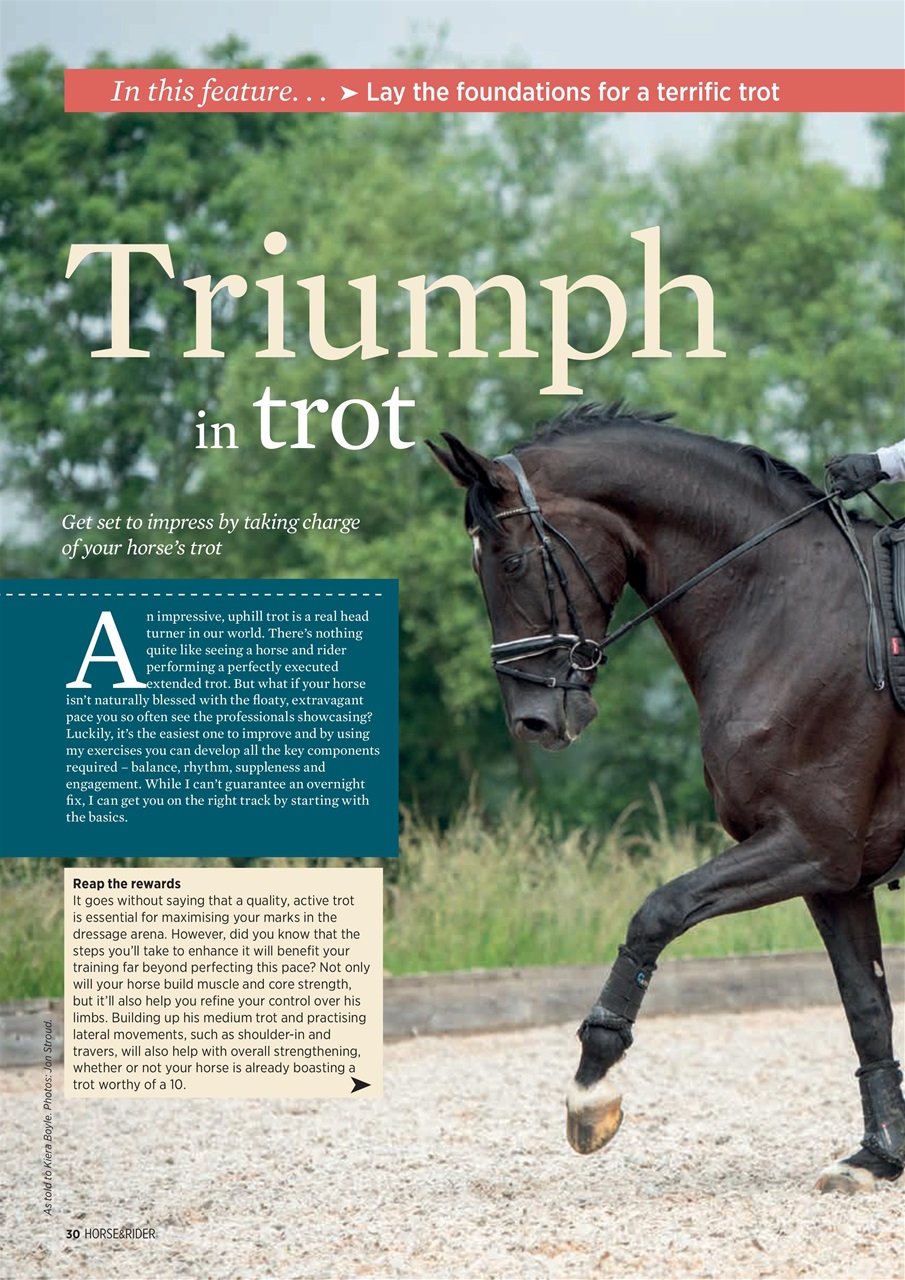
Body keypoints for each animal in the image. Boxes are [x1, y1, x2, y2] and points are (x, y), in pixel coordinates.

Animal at [429, 402, 905, 1193]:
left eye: (512, 562)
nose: (534, 723)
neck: (784, 609)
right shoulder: (834, 874)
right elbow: (864, 1005)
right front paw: (879, 1156)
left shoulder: (808, 843)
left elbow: (658, 911)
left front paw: (591, 1087)